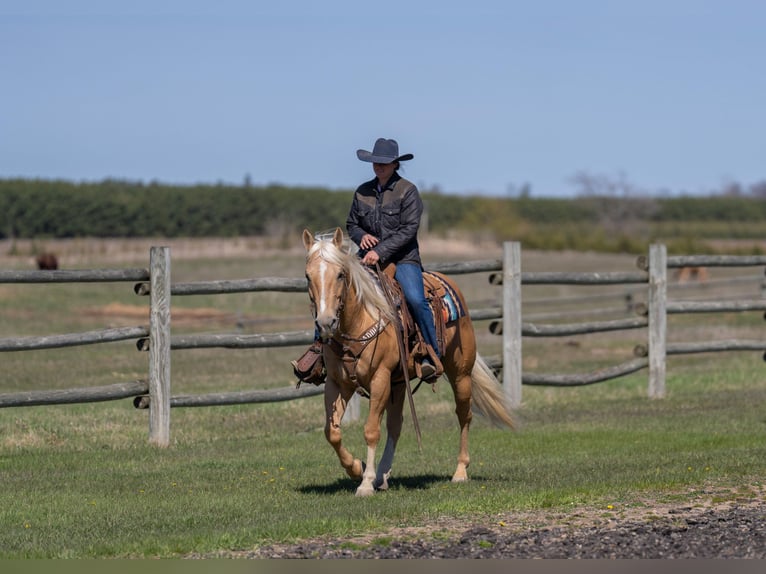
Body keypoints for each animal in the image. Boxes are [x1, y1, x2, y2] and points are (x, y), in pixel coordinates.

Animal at [302, 228, 514, 496]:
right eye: (308, 276)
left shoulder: (380, 378)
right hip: (399, 382)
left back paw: (459, 472)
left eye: (340, 274)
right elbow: (332, 432)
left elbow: (371, 430)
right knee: (396, 424)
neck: (359, 321)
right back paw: (383, 475)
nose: (326, 322)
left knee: (464, 415)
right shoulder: (337, 384)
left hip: (460, 373)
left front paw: (365, 483)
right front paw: (357, 468)